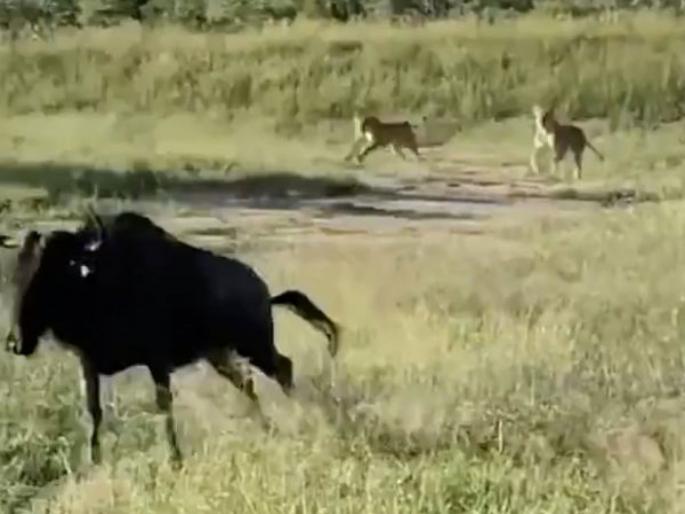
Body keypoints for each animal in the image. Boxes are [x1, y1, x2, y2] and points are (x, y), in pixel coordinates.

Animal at [0, 210, 340, 465]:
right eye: (17, 273)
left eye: (49, 275)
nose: (15, 342)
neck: (99, 281)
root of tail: (265, 293)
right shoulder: (88, 363)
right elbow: (93, 411)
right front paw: (93, 461)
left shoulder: (157, 361)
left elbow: (164, 407)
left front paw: (175, 460)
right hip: (220, 355)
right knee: (249, 383)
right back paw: (267, 428)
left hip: (255, 345)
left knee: (283, 368)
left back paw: (300, 417)